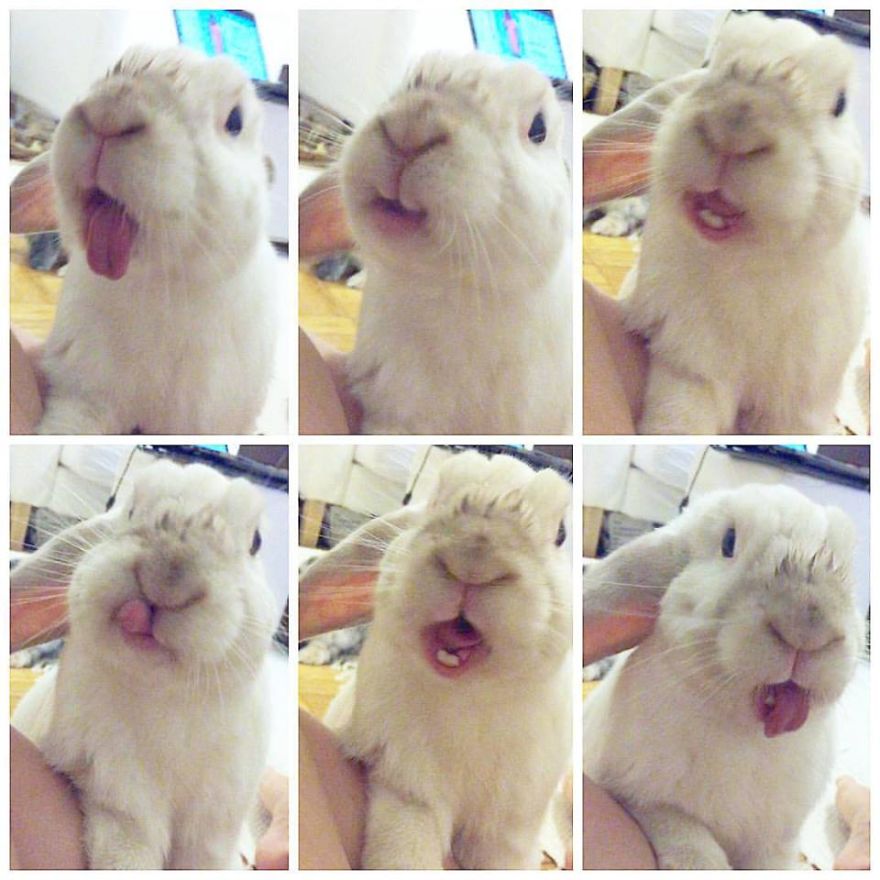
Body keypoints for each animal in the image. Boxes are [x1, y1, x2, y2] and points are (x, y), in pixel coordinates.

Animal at [11, 459, 279, 869]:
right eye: (131, 509)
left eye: (256, 542)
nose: (166, 576)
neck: (165, 693)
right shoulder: (117, 802)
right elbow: (127, 852)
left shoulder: (213, 825)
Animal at [316, 451, 572, 868]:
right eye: (435, 499)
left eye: (562, 533)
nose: (473, 559)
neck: (469, 696)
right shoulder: (406, 789)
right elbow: (406, 848)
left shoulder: (508, 829)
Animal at [582, 484, 864, 869]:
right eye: (728, 542)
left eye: (845, 565)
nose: (808, 631)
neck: (746, 734)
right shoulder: (641, 799)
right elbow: (686, 836)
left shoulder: (776, 843)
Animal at [611, 12, 867, 434]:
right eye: (709, 63)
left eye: (841, 103)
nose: (732, 127)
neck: (746, 264)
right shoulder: (690, 368)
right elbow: (679, 417)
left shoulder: (795, 409)